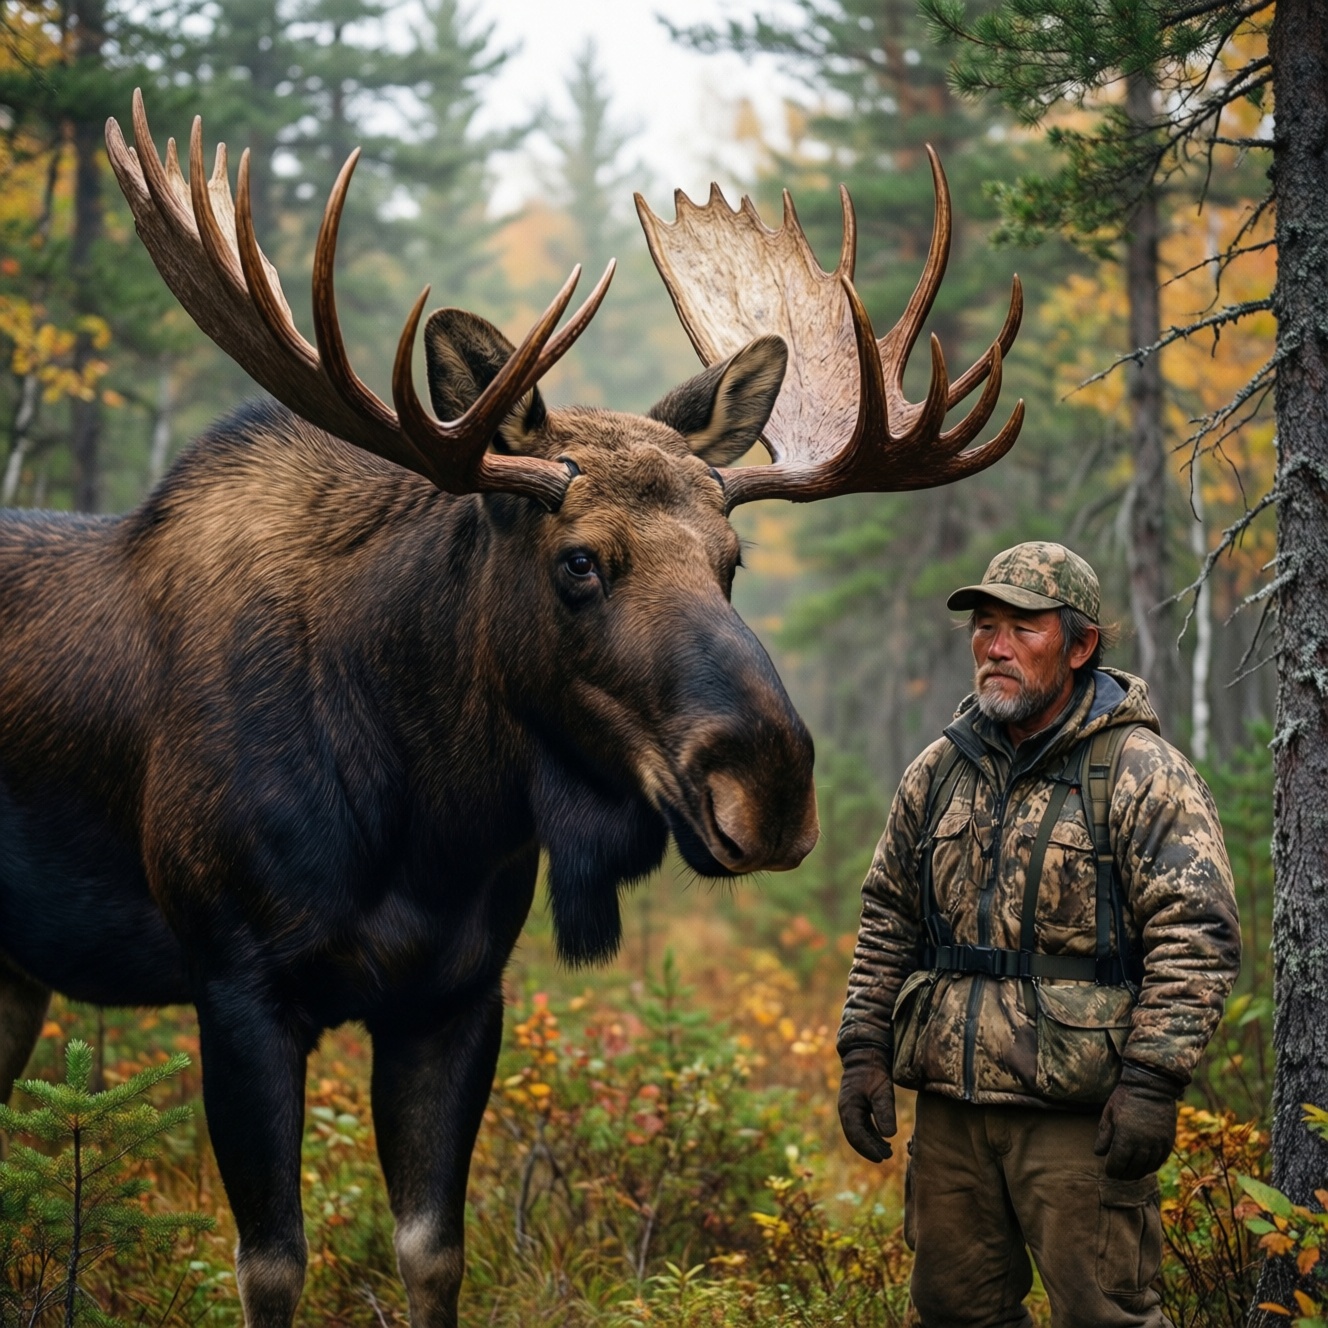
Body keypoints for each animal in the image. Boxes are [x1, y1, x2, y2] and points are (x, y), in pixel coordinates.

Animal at [0, 92, 1023, 1327]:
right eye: (579, 560)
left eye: (731, 560)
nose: (771, 786)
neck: (418, 816)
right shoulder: (236, 980)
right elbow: (272, 1263)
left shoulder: (455, 995)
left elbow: (434, 1249)